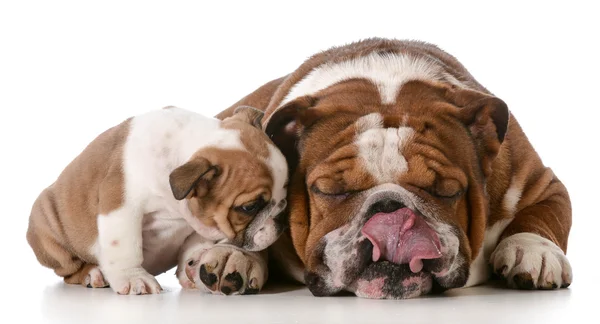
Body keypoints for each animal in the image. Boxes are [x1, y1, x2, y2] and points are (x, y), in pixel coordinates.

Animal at [27, 105, 288, 294]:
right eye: (249, 207)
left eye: (285, 191)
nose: (282, 219)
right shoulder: (121, 205)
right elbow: (125, 246)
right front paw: (134, 278)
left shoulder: (198, 222)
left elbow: (194, 243)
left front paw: (194, 266)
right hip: (48, 228)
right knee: (69, 270)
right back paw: (93, 273)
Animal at [218, 38, 576, 298]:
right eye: (331, 191)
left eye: (445, 191)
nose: (390, 209)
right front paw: (234, 254)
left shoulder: (541, 183)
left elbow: (542, 214)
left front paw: (534, 250)